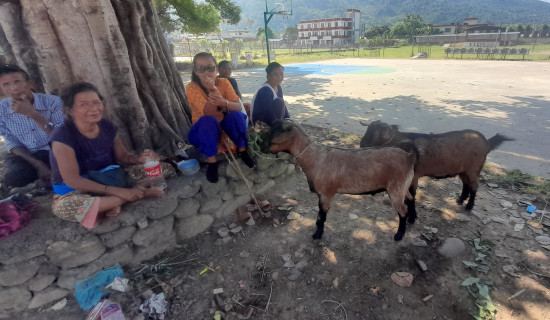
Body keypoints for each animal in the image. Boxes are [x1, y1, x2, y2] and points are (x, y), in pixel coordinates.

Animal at [266, 120, 416, 240]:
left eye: (275, 134)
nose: (262, 146)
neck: (315, 158)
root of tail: (409, 157)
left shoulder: (326, 194)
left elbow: (322, 216)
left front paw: (317, 235)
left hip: (396, 188)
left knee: (403, 210)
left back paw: (399, 235)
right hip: (403, 186)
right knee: (410, 198)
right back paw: (412, 219)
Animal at [360, 120, 516, 220]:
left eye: (375, 132)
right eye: (368, 129)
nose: (361, 145)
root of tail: (486, 142)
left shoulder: (414, 176)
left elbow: (412, 195)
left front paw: (412, 217)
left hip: (474, 168)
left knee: (474, 186)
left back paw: (469, 206)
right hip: (463, 169)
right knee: (466, 183)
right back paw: (460, 200)